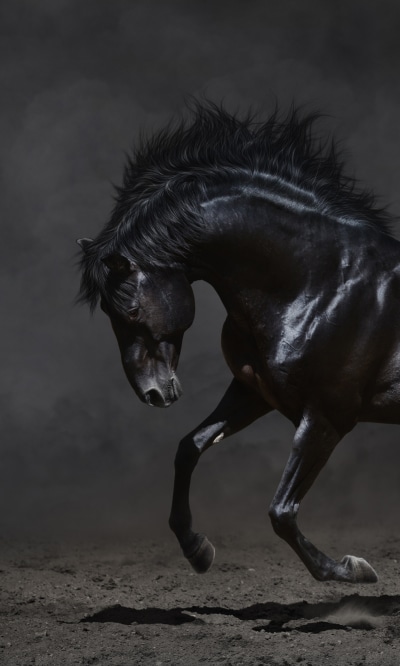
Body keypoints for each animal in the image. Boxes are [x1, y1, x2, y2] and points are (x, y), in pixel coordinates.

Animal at [77, 102, 400, 584]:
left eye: (129, 310)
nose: (152, 393)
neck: (321, 282)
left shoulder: (326, 417)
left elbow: (281, 511)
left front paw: (350, 569)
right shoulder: (253, 392)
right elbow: (189, 447)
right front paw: (197, 549)